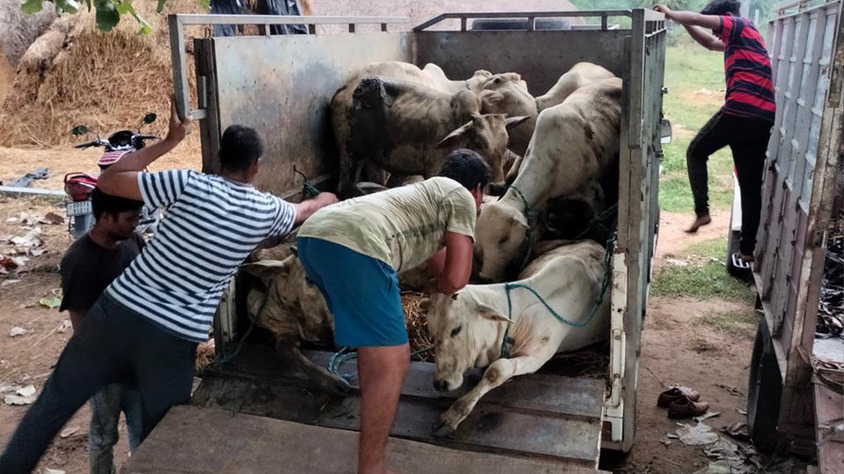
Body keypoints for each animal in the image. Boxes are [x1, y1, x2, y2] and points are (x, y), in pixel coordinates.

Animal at [336, 75, 528, 197]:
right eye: (478, 143)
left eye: (505, 144)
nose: (498, 188)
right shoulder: (435, 171)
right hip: (350, 155)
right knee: (344, 187)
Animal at [422, 240, 611, 436]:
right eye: (432, 332)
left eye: (456, 329)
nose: (440, 383)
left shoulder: (537, 356)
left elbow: (497, 370)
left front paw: (453, 415)